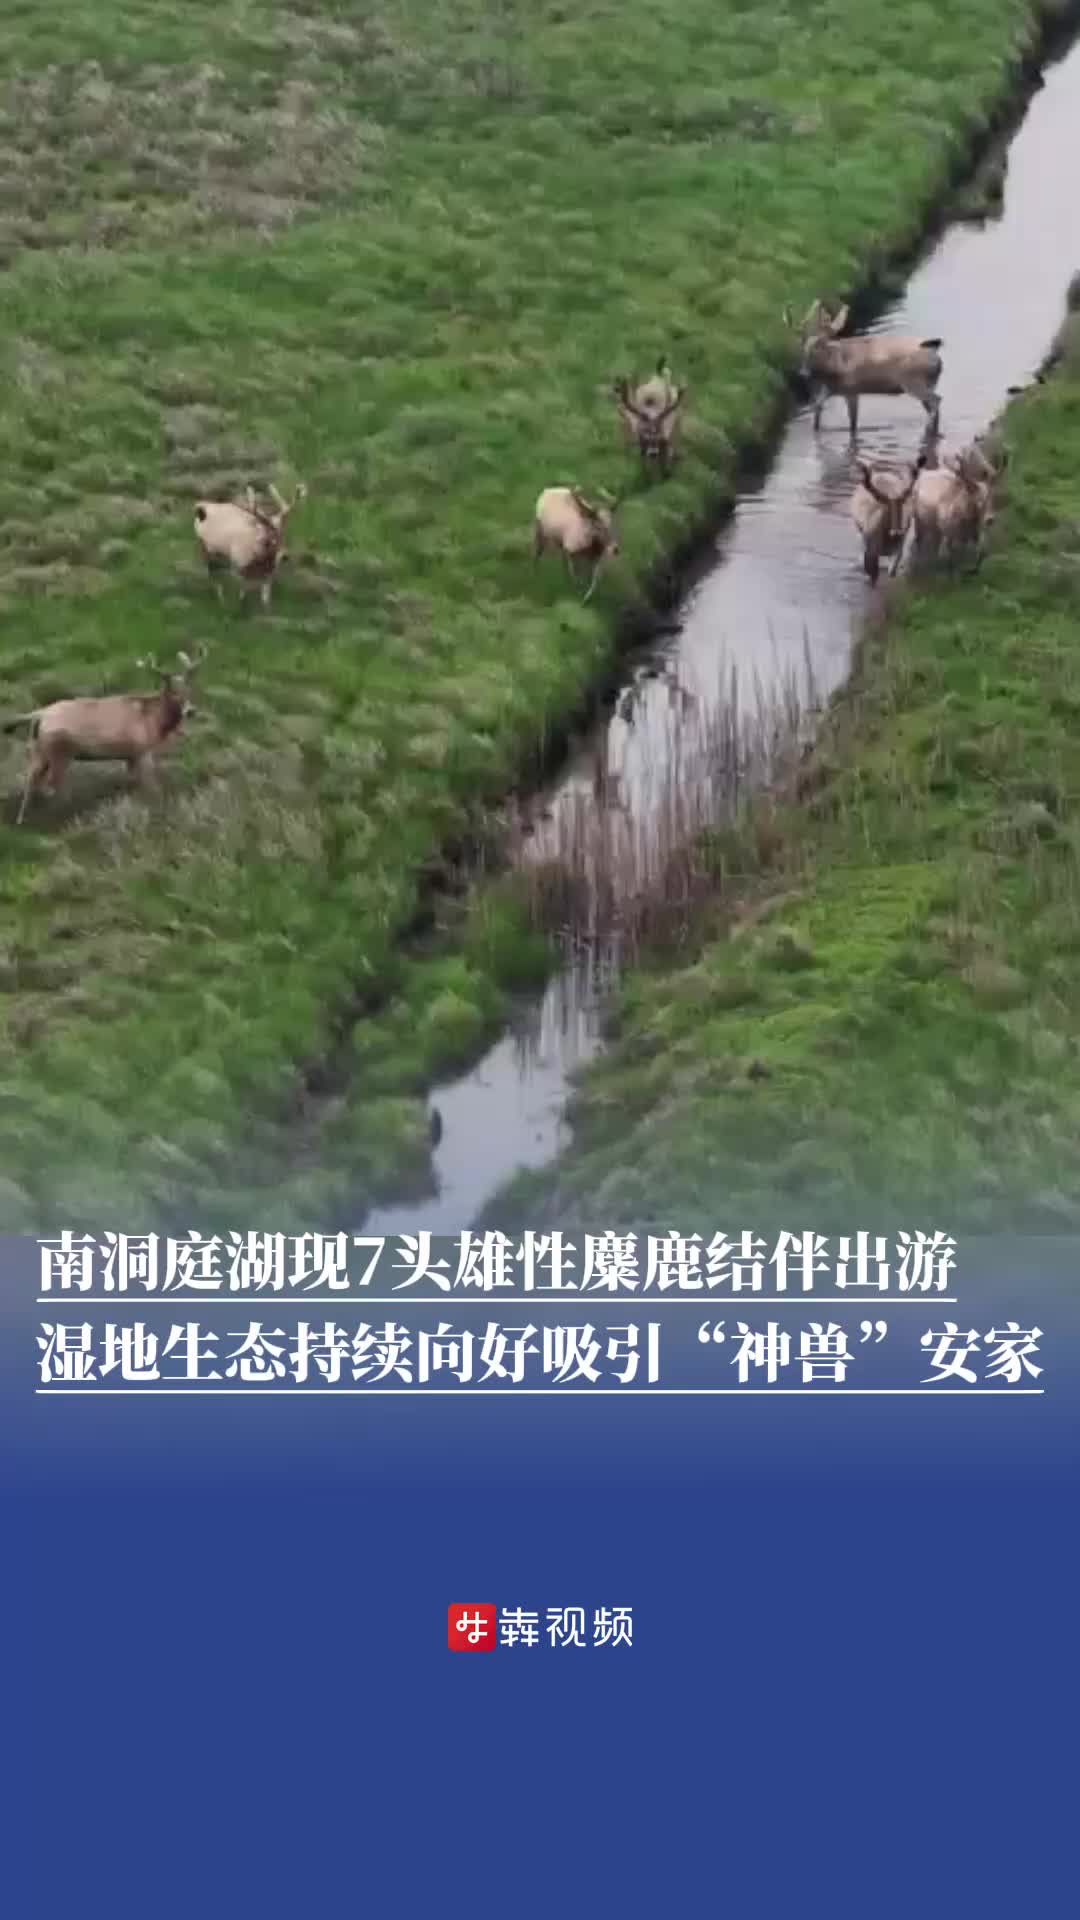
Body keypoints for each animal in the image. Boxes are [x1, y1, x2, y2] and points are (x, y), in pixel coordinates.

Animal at [3, 645, 206, 824]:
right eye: (173, 693)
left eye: (189, 690)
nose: (191, 711)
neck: (153, 720)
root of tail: (40, 714)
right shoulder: (142, 750)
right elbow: (151, 786)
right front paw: (156, 807)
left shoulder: (130, 755)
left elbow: (132, 783)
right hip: (59, 751)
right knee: (51, 784)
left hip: (40, 750)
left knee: (32, 779)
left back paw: (23, 818)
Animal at [785, 299, 944, 436]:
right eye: (804, 349)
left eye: (818, 349)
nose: (803, 373)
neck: (835, 368)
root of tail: (935, 354)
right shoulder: (830, 389)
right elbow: (817, 408)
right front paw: (816, 429)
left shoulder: (852, 389)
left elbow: (853, 423)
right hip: (928, 382)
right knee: (933, 406)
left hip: (914, 381)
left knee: (937, 400)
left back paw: (927, 428)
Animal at [851, 453, 926, 583]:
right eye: (887, 509)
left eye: (902, 506)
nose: (896, 533)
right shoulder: (871, 552)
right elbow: (872, 575)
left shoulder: (898, 549)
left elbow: (892, 572)